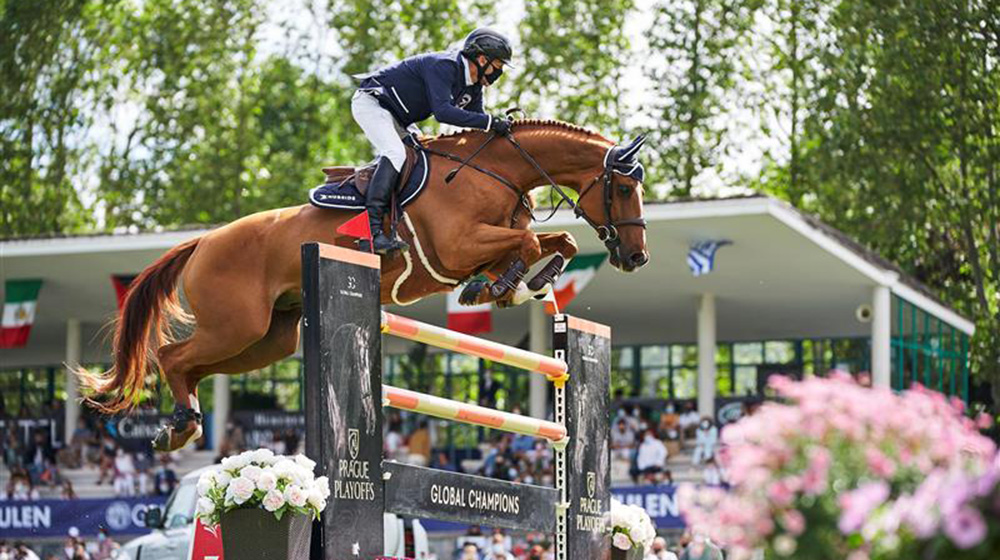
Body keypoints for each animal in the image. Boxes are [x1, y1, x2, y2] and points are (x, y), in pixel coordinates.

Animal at [78, 118, 648, 450]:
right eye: (623, 188)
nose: (636, 257)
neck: (495, 171)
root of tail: (203, 242)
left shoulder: (486, 243)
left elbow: (556, 242)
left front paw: (516, 285)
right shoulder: (458, 246)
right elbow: (528, 244)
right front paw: (504, 285)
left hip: (266, 338)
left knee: (192, 366)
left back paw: (182, 424)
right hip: (235, 326)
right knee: (173, 357)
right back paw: (179, 425)